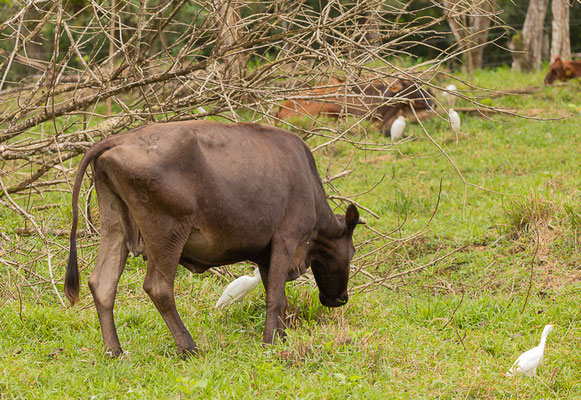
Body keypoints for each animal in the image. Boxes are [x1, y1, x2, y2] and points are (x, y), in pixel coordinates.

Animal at [64, 119, 362, 356]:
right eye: (352, 252)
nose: (341, 298)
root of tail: (118, 138)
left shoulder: (265, 254)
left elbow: (278, 297)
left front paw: (282, 337)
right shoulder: (286, 240)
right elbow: (276, 297)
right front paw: (270, 342)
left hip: (114, 226)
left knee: (102, 283)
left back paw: (114, 351)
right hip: (167, 233)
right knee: (159, 288)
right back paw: (189, 347)